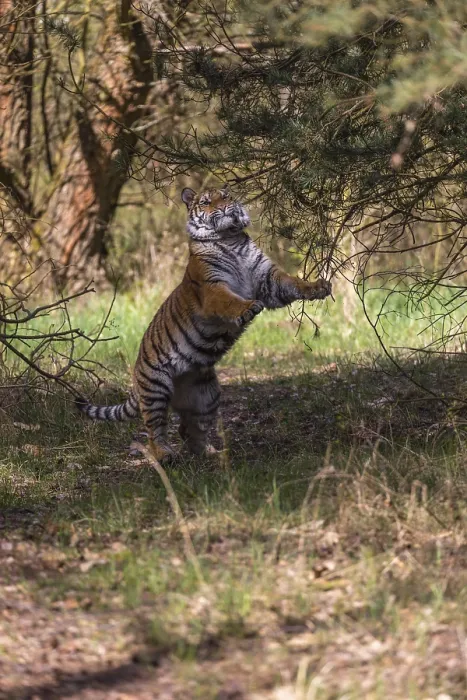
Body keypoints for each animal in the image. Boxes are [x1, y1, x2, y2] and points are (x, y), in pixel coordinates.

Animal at [77, 184, 332, 462]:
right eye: (207, 202)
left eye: (226, 196)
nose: (224, 208)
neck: (230, 238)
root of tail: (137, 371)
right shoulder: (213, 288)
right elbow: (229, 301)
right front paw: (248, 307)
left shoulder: (268, 279)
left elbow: (293, 282)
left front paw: (318, 287)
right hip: (156, 388)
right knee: (155, 430)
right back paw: (166, 455)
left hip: (207, 396)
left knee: (187, 429)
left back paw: (212, 454)